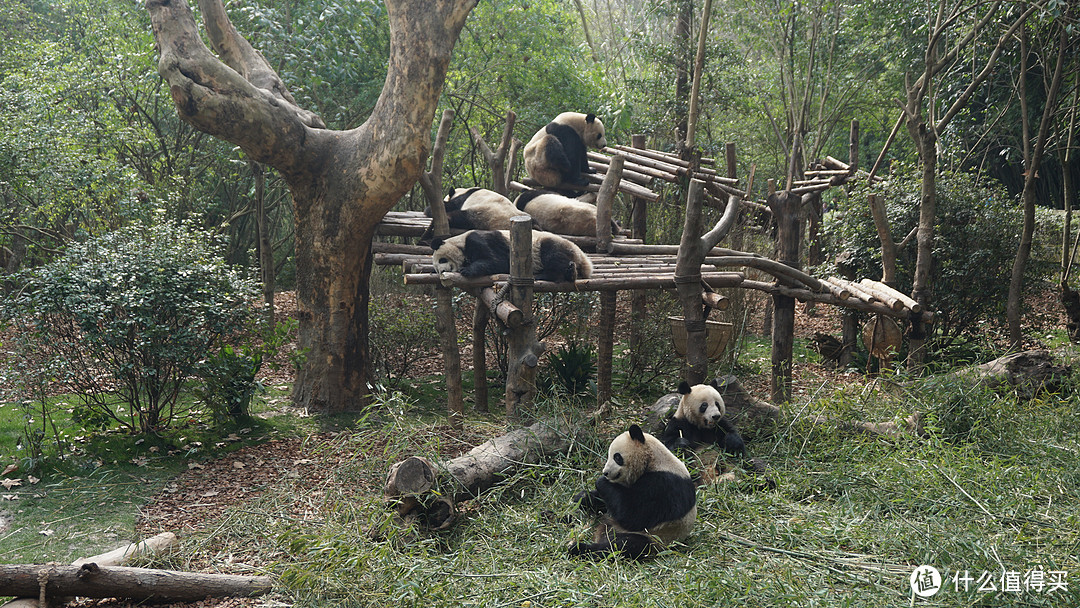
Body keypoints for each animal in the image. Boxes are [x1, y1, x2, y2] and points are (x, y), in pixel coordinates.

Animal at [570, 423, 695, 561]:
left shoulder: (664, 485)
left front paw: (600, 481)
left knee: (624, 545)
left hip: (655, 538)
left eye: (617, 457)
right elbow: (612, 501)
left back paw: (580, 549)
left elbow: (633, 514)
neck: (653, 461)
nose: (605, 472)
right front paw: (583, 497)